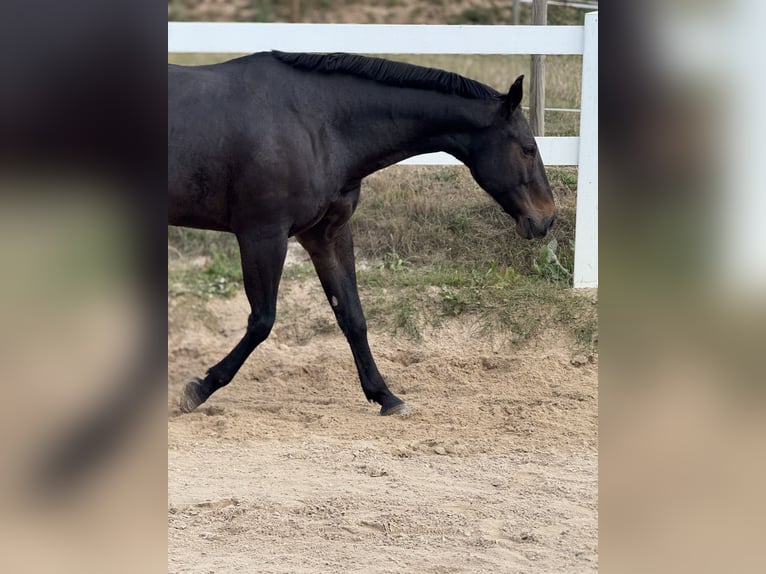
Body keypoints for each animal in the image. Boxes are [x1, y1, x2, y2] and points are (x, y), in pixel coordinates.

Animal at [168, 51, 557, 416]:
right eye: (528, 148)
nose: (547, 218)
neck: (317, 125)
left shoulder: (326, 235)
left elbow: (352, 316)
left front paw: (385, 396)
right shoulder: (263, 236)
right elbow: (262, 320)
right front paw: (200, 388)